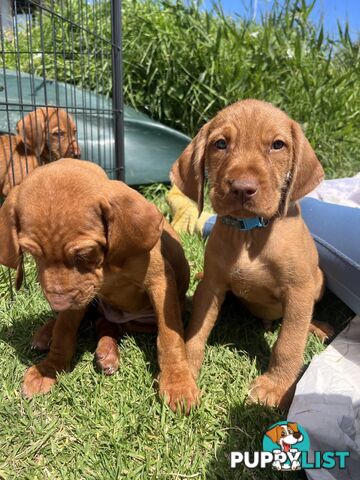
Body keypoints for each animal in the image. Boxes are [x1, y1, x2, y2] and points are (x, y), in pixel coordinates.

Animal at [0, 158, 198, 412]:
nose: (57, 304)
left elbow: (169, 337)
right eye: (32, 254)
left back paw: (106, 352)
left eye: (84, 254)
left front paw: (177, 382)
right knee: (101, 322)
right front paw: (49, 369)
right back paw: (50, 334)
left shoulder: (160, 283)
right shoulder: (78, 296)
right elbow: (64, 331)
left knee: (112, 325)